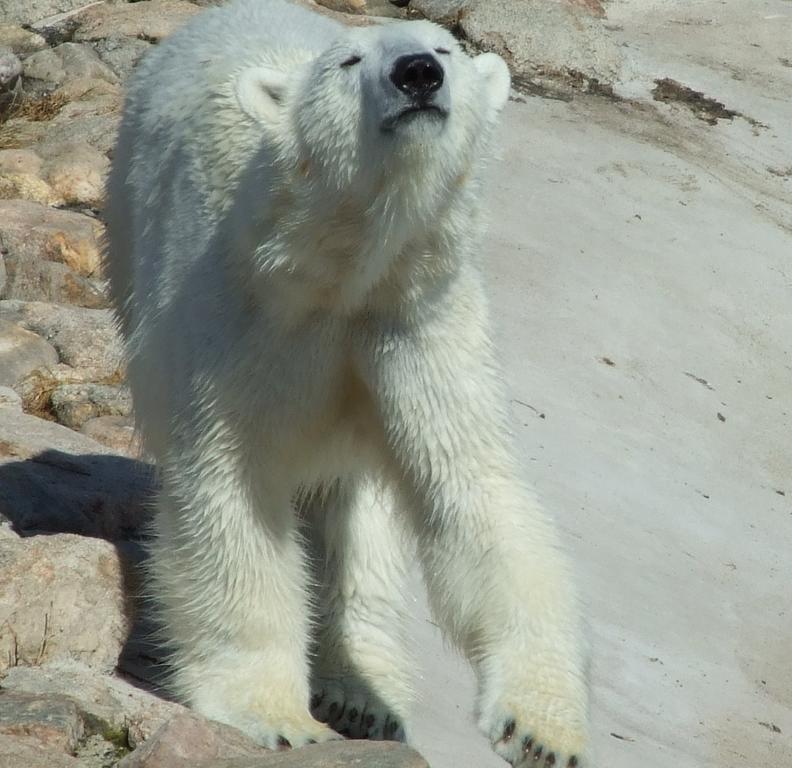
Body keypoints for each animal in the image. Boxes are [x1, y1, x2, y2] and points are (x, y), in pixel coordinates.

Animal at [103, 0, 588, 764]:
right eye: (349, 62)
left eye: (447, 49)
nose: (416, 73)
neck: (348, 270)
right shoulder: (239, 324)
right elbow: (232, 486)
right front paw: (276, 717)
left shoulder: (416, 321)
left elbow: (474, 489)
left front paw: (542, 728)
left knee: (361, 514)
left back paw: (362, 690)